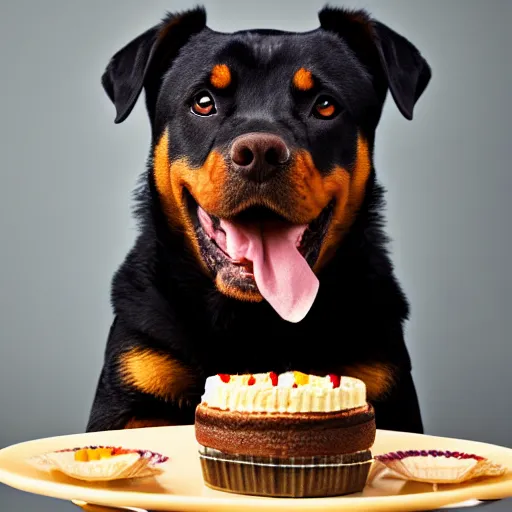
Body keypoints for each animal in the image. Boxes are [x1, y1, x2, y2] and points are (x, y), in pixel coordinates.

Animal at [87, 6, 432, 434]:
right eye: (203, 102)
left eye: (325, 105)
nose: (260, 154)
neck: (254, 319)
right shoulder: (139, 373)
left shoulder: (379, 375)